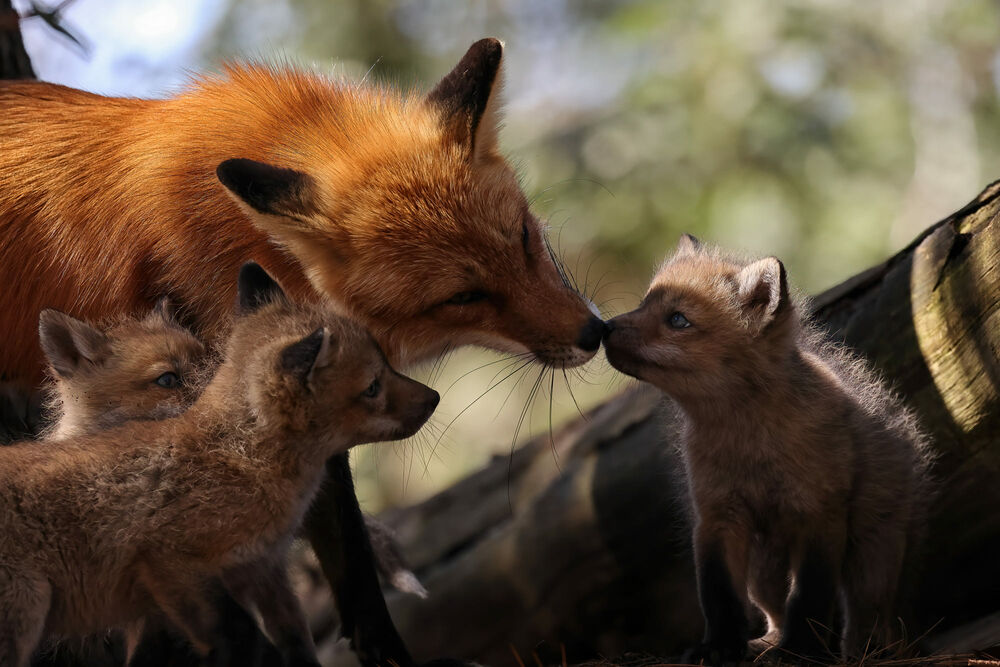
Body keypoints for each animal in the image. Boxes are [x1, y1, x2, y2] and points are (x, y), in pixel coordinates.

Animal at [603, 235, 931, 663]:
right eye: (644, 303)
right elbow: (719, 596)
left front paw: (801, 651)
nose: (603, 327)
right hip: (764, 572)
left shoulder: (819, 516)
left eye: (677, 320)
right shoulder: (717, 517)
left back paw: (865, 652)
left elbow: (809, 598)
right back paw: (767, 643)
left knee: (868, 615)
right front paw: (720, 647)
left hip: (871, 560)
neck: (750, 442)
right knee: (775, 613)